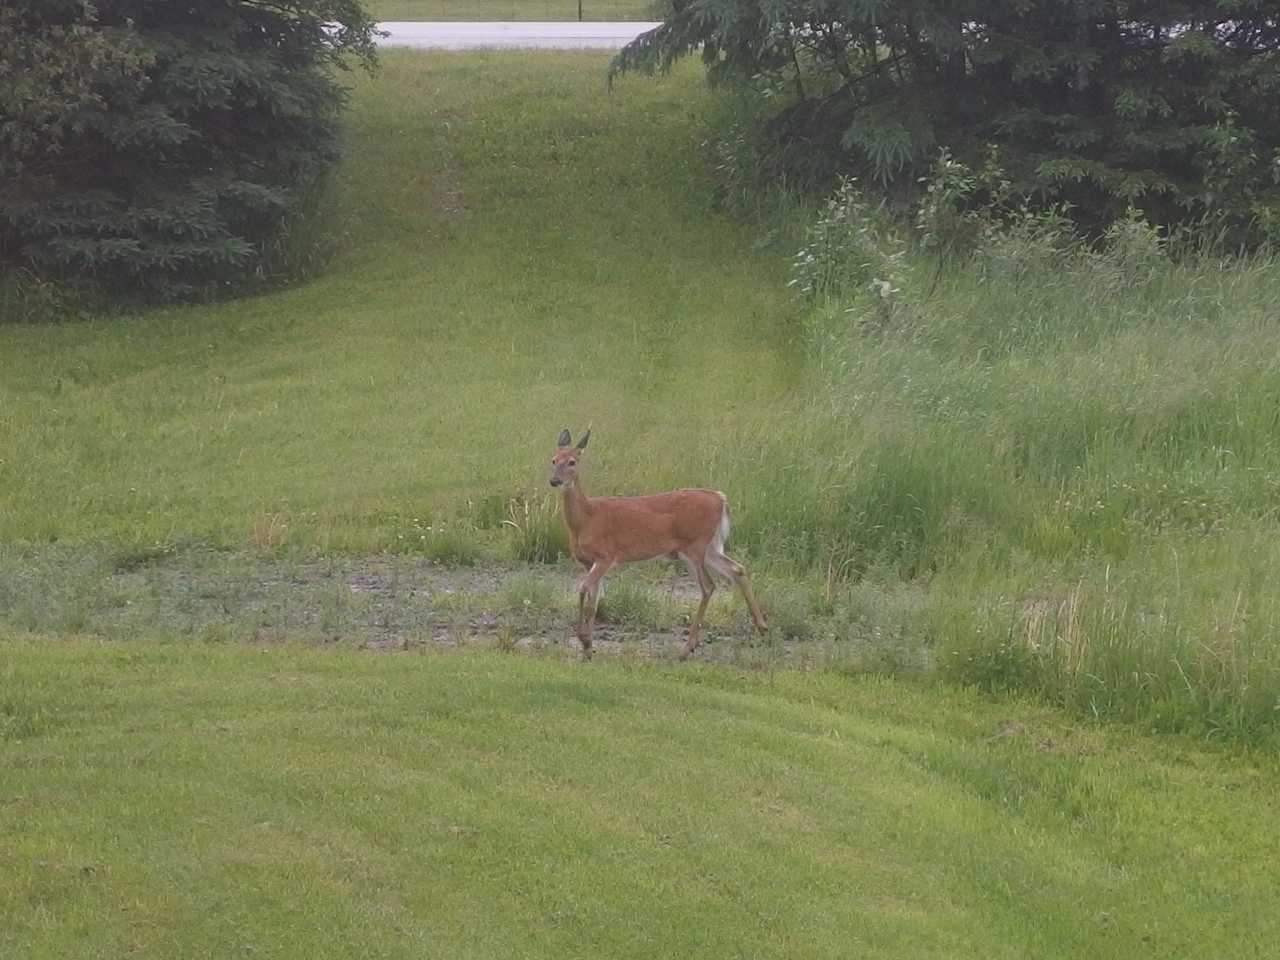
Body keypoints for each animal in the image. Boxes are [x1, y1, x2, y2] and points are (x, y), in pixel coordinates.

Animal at [545, 430, 762, 660]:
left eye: (572, 461)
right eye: (553, 460)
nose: (555, 480)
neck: (586, 519)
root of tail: (721, 499)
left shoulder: (607, 556)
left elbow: (583, 588)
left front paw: (584, 640)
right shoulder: (588, 562)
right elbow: (592, 603)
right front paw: (587, 648)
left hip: (695, 546)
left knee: (708, 586)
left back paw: (686, 649)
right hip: (709, 547)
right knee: (736, 569)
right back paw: (762, 626)